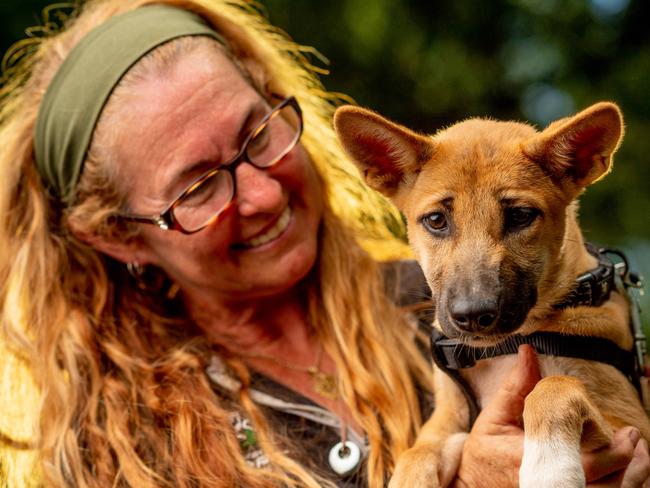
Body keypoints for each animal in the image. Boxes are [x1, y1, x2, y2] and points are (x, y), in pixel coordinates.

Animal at [334, 101, 648, 486]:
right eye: (436, 220)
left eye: (521, 216)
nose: (472, 317)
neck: (508, 347)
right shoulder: (447, 420)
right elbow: (416, 452)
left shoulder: (634, 427)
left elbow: (554, 387)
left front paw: (549, 468)